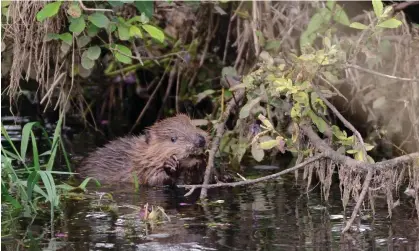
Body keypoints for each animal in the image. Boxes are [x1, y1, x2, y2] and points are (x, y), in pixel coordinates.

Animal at [76, 113, 209, 186]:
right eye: (173, 139)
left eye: (193, 126)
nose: (200, 141)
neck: (140, 156)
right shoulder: (141, 170)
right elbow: (155, 181)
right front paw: (170, 165)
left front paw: (203, 160)